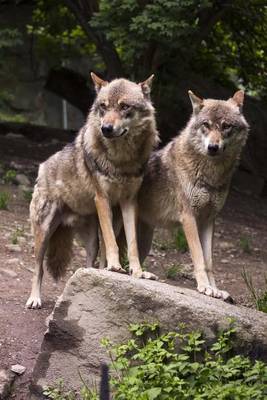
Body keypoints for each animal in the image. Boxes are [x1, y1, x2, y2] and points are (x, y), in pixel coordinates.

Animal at [25, 72, 159, 310]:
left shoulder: (129, 202)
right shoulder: (102, 199)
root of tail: (42, 167)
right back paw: (35, 299)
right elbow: (113, 243)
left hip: (91, 241)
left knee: (88, 266)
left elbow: (131, 244)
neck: (121, 161)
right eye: (103, 107)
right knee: (38, 268)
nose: (106, 128)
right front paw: (115, 267)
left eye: (124, 106)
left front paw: (137, 272)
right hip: (43, 232)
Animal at [111, 90, 249, 300]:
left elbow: (209, 262)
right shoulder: (189, 218)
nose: (213, 147)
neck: (211, 175)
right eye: (206, 125)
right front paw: (205, 287)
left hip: (145, 239)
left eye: (226, 126)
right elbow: (199, 257)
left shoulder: (209, 220)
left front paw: (216, 290)